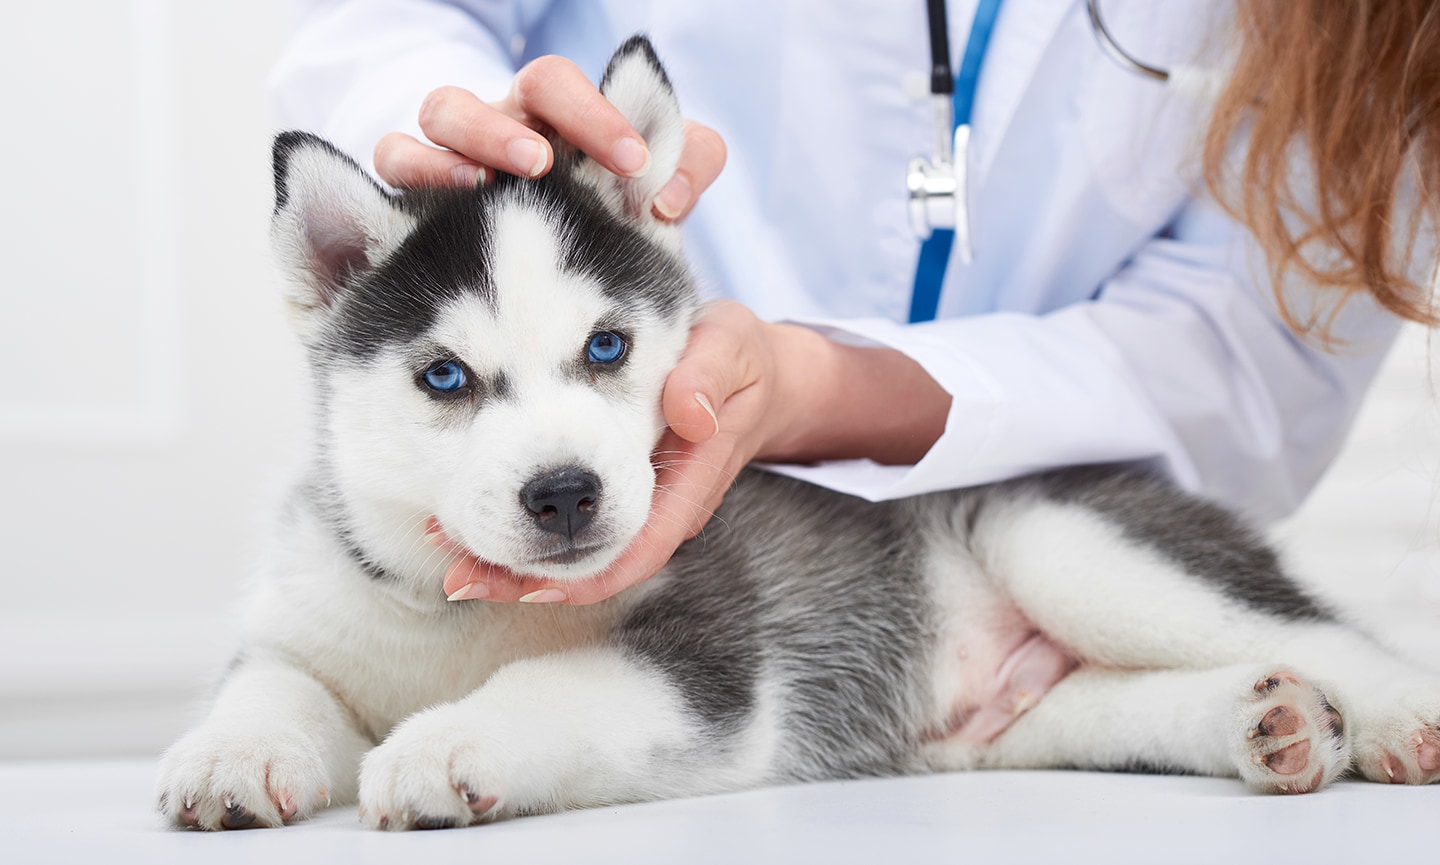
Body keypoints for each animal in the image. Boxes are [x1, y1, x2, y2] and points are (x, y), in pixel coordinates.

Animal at [157, 37, 1440, 829]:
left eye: (609, 348)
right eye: (444, 376)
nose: (565, 494)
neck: (459, 616)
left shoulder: (712, 664)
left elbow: (552, 687)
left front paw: (443, 743)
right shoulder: (309, 619)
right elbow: (271, 685)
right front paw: (229, 753)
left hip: (1060, 536)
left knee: (1326, 635)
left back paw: (1394, 718)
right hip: (1009, 724)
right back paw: (1268, 720)